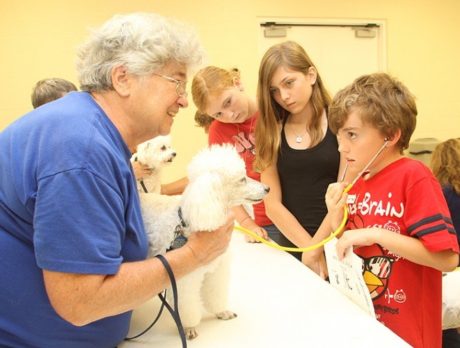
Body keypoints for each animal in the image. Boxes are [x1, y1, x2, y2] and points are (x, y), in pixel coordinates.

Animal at [140, 144, 270, 340]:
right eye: (242, 179)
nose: (267, 188)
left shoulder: (217, 270)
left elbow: (215, 294)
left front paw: (222, 312)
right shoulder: (184, 280)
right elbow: (187, 307)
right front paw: (189, 327)